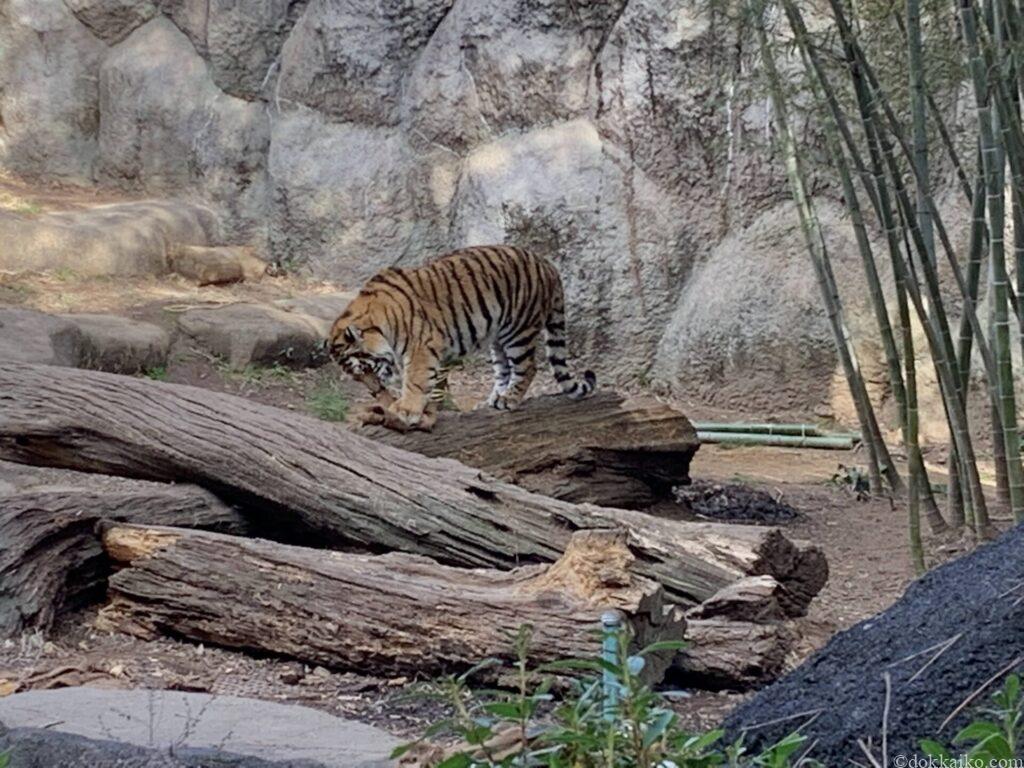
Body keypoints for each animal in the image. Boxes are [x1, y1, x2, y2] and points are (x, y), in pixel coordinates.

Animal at [327, 244, 598, 434]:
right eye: (357, 377)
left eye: (363, 370)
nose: (373, 391)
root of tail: (548, 265)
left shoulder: (421, 348)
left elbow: (416, 381)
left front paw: (405, 409)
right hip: (497, 337)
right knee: (504, 369)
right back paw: (494, 399)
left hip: (518, 331)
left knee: (528, 367)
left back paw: (509, 400)